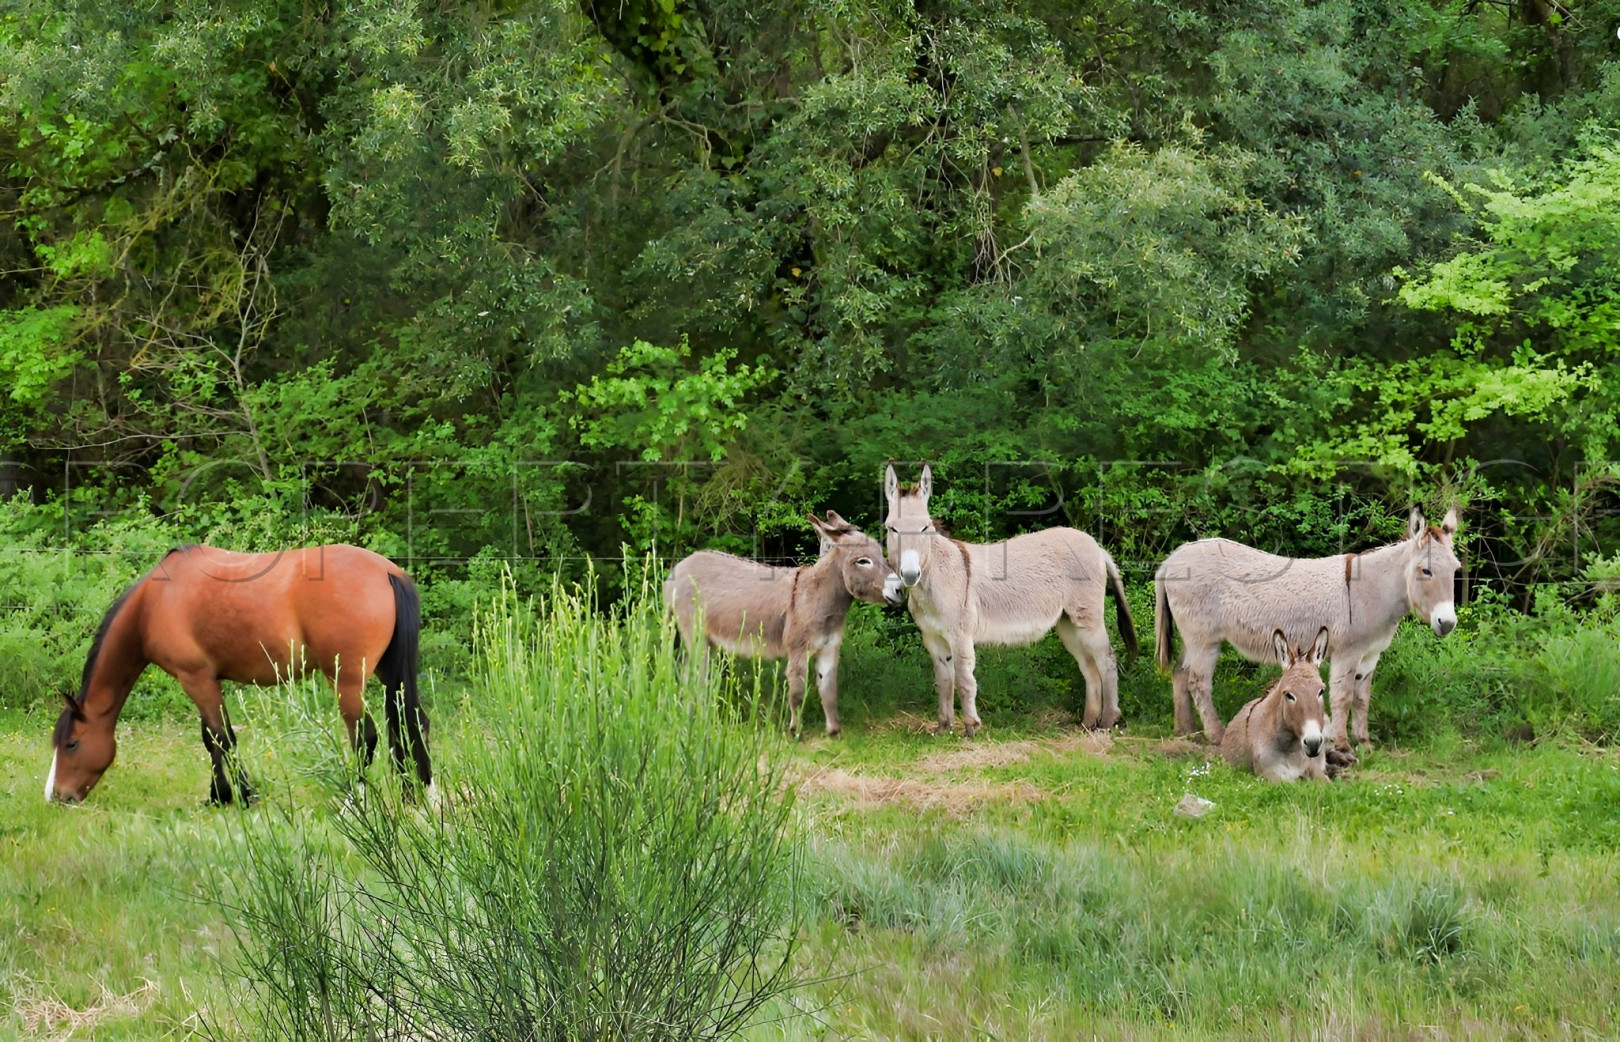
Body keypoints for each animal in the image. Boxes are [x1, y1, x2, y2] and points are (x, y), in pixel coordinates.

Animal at [45, 547, 430, 807]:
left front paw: (243, 794)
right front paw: (219, 795)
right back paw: (418, 792)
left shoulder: (195, 678)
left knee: (365, 736)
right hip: (386, 673)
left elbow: (222, 737)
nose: (57, 795)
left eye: (72, 744)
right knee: (412, 724)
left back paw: (355, 802)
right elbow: (210, 738)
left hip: (346, 681)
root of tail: (387, 572)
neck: (154, 604)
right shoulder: (206, 680)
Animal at [664, 512, 907, 738]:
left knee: (689, 675)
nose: (900, 590)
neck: (817, 597)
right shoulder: (798, 649)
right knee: (695, 676)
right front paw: (794, 731)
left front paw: (834, 732)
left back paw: (690, 716)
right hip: (695, 636)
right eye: (862, 561)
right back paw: (699, 721)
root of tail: (679, 567)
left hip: (708, 641)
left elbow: (829, 690)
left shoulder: (829, 648)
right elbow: (797, 691)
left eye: (881, 554)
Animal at [887, 460, 1140, 738]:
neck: (935, 578)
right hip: (1067, 622)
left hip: (1088, 617)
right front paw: (944, 727)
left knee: (1107, 660)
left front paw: (971, 727)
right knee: (1089, 667)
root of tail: (1097, 546)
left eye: (925, 528)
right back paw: (1087, 722)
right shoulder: (933, 638)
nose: (910, 575)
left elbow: (964, 680)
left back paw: (1108, 721)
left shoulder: (960, 635)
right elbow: (943, 682)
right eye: (891, 528)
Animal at [1153, 508, 1470, 761]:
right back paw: (1215, 734)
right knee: (1198, 681)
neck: (1372, 590)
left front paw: (1365, 743)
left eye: (1456, 569)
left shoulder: (1370, 655)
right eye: (1425, 571)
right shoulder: (1347, 652)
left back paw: (1185, 731)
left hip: (1192, 637)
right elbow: (1342, 697)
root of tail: (1172, 558)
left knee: (1180, 673)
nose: (1447, 623)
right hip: (1203, 639)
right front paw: (1343, 746)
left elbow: (1362, 698)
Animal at [1218, 628, 1334, 784]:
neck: (1292, 749)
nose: (1313, 743)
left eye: (1321, 691)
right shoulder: (1269, 775)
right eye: (1289, 695)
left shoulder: (1314, 769)